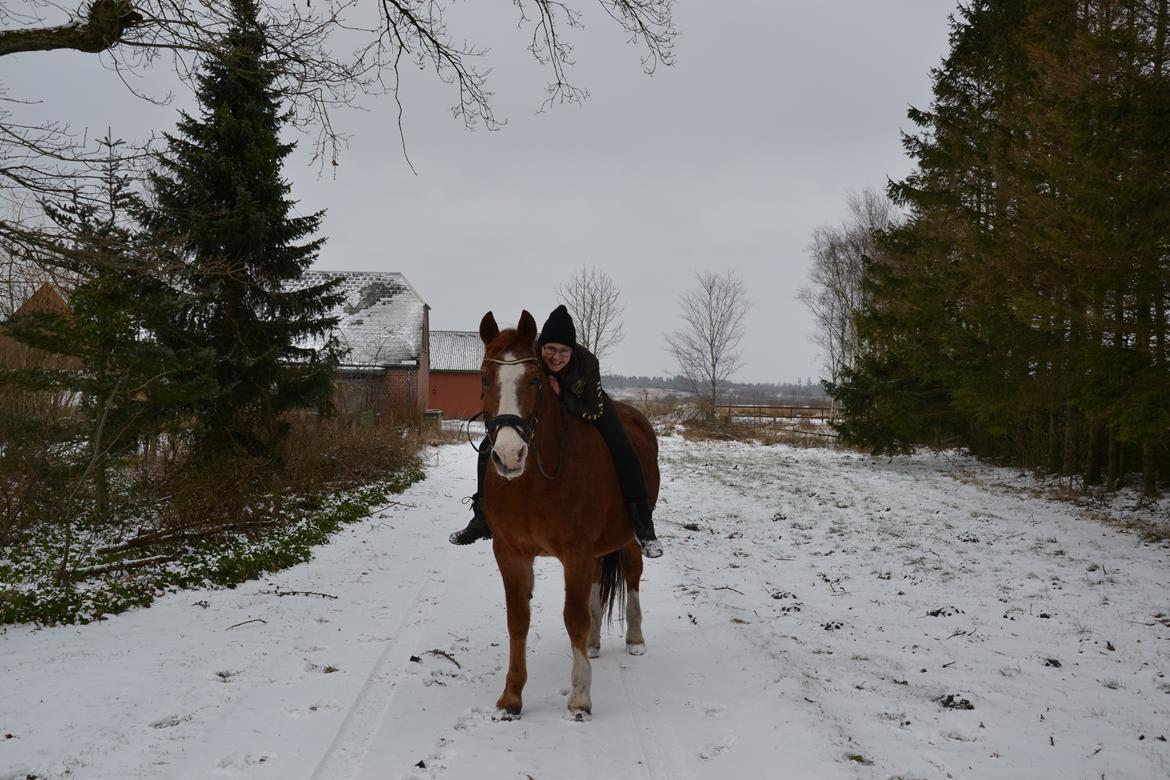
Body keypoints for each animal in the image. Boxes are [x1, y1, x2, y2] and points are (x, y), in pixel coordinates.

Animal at [475, 308, 659, 725]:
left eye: (534, 380)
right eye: (485, 378)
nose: (508, 455)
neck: (535, 483)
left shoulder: (575, 552)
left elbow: (573, 618)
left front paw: (579, 699)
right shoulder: (510, 553)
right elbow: (518, 620)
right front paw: (511, 698)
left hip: (627, 537)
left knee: (633, 573)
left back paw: (635, 639)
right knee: (596, 582)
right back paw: (592, 643)